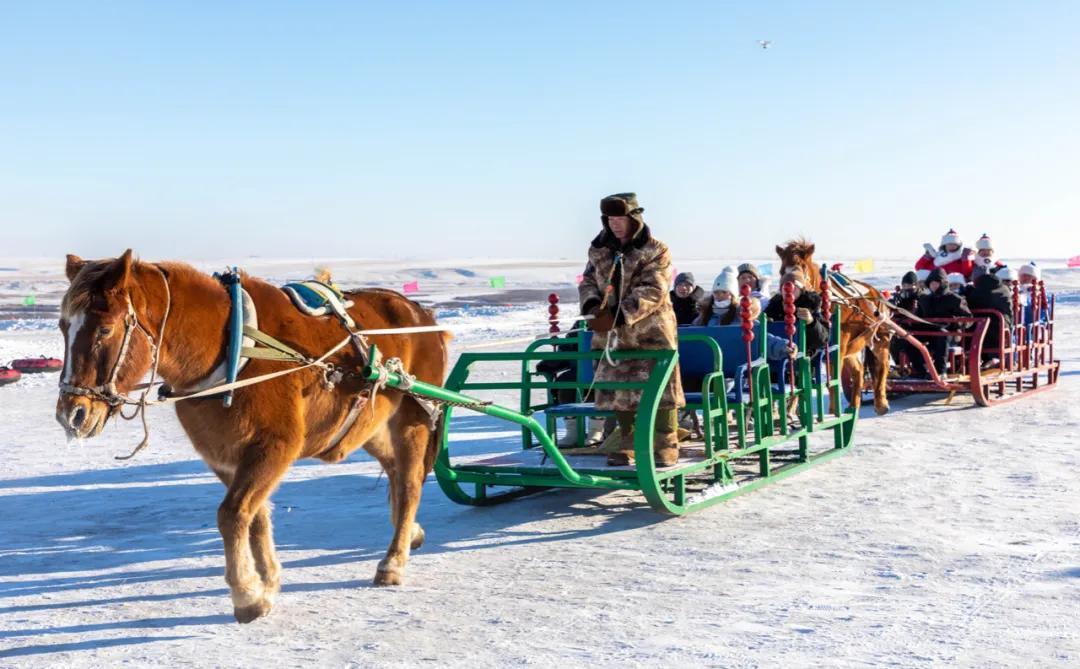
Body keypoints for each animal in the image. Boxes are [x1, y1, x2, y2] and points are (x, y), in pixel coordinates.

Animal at [53, 250, 451, 622]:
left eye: (105, 329)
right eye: (62, 327)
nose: (72, 414)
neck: (233, 350)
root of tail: (423, 317)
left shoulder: (274, 447)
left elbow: (232, 514)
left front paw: (246, 595)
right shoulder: (225, 455)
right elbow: (255, 515)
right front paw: (268, 582)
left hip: (412, 419)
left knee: (410, 483)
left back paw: (393, 561)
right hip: (373, 428)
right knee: (397, 473)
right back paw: (411, 532)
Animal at [777, 237, 894, 417]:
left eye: (802, 267)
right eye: (782, 270)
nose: (788, 288)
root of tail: (877, 294)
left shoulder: (836, 348)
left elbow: (832, 380)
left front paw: (832, 409)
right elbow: (800, 377)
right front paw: (791, 409)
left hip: (879, 338)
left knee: (883, 365)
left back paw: (881, 403)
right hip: (851, 347)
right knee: (859, 370)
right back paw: (854, 405)